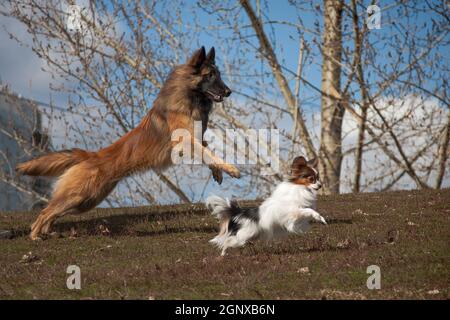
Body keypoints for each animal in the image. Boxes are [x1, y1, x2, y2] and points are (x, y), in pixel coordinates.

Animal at [16, 47, 243, 240]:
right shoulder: (185, 140)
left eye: (218, 74)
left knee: (52, 212)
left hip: (86, 201)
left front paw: (218, 172)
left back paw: (48, 232)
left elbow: (208, 152)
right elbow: (209, 153)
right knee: (45, 211)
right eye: (210, 75)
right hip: (79, 196)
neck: (189, 95)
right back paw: (35, 235)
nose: (229, 91)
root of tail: (91, 156)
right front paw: (231, 169)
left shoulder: (197, 138)